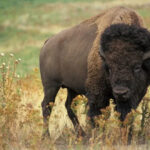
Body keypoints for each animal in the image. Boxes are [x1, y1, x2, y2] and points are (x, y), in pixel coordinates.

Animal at [39, 6, 150, 138]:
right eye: (108, 67)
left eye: (137, 67)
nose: (120, 92)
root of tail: (48, 42)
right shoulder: (98, 95)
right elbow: (96, 116)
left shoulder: (133, 97)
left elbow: (125, 116)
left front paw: (127, 137)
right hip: (51, 86)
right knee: (46, 107)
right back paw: (47, 136)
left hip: (72, 89)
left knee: (68, 105)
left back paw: (81, 134)